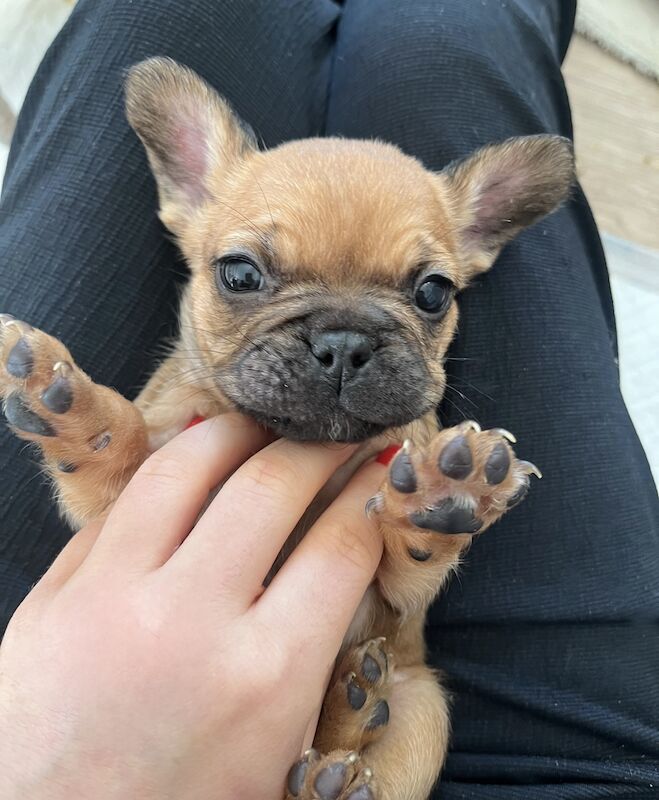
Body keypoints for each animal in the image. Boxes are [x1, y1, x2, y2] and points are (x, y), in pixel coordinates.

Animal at [0, 57, 576, 800]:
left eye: (432, 294)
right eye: (240, 274)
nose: (344, 341)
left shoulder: (397, 602)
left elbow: (411, 560)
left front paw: (447, 497)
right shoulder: (117, 504)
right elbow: (117, 449)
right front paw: (75, 410)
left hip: (424, 707)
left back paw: (345, 734)